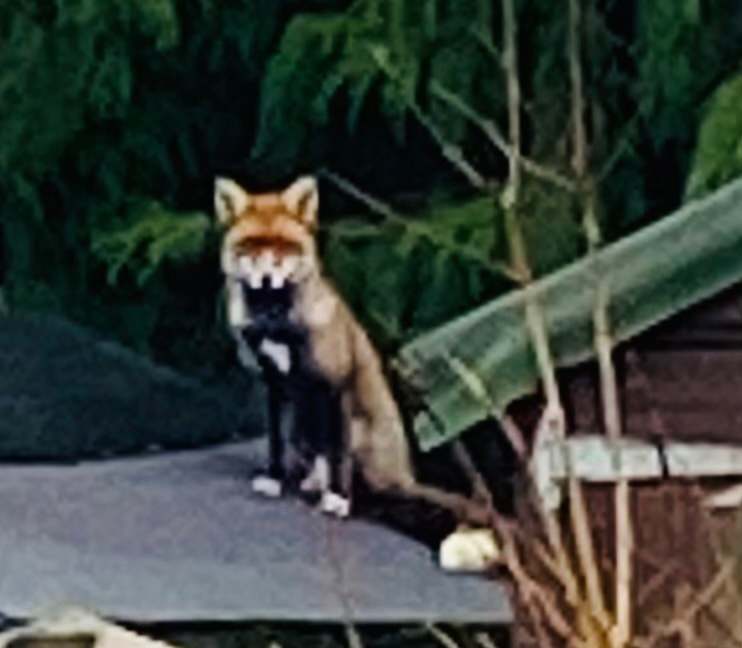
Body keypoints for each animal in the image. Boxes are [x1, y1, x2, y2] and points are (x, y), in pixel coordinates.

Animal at [215, 175, 503, 569]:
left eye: (285, 246)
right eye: (250, 245)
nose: (267, 277)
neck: (277, 323)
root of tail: (405, 476)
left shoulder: (336, 384)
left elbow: (338, 457)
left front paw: (338, 501)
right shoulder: (274, 385)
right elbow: (275, 443)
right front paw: (274, 480)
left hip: (359, 433)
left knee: (367, 484)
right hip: (302, 427)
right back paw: (311, 483)